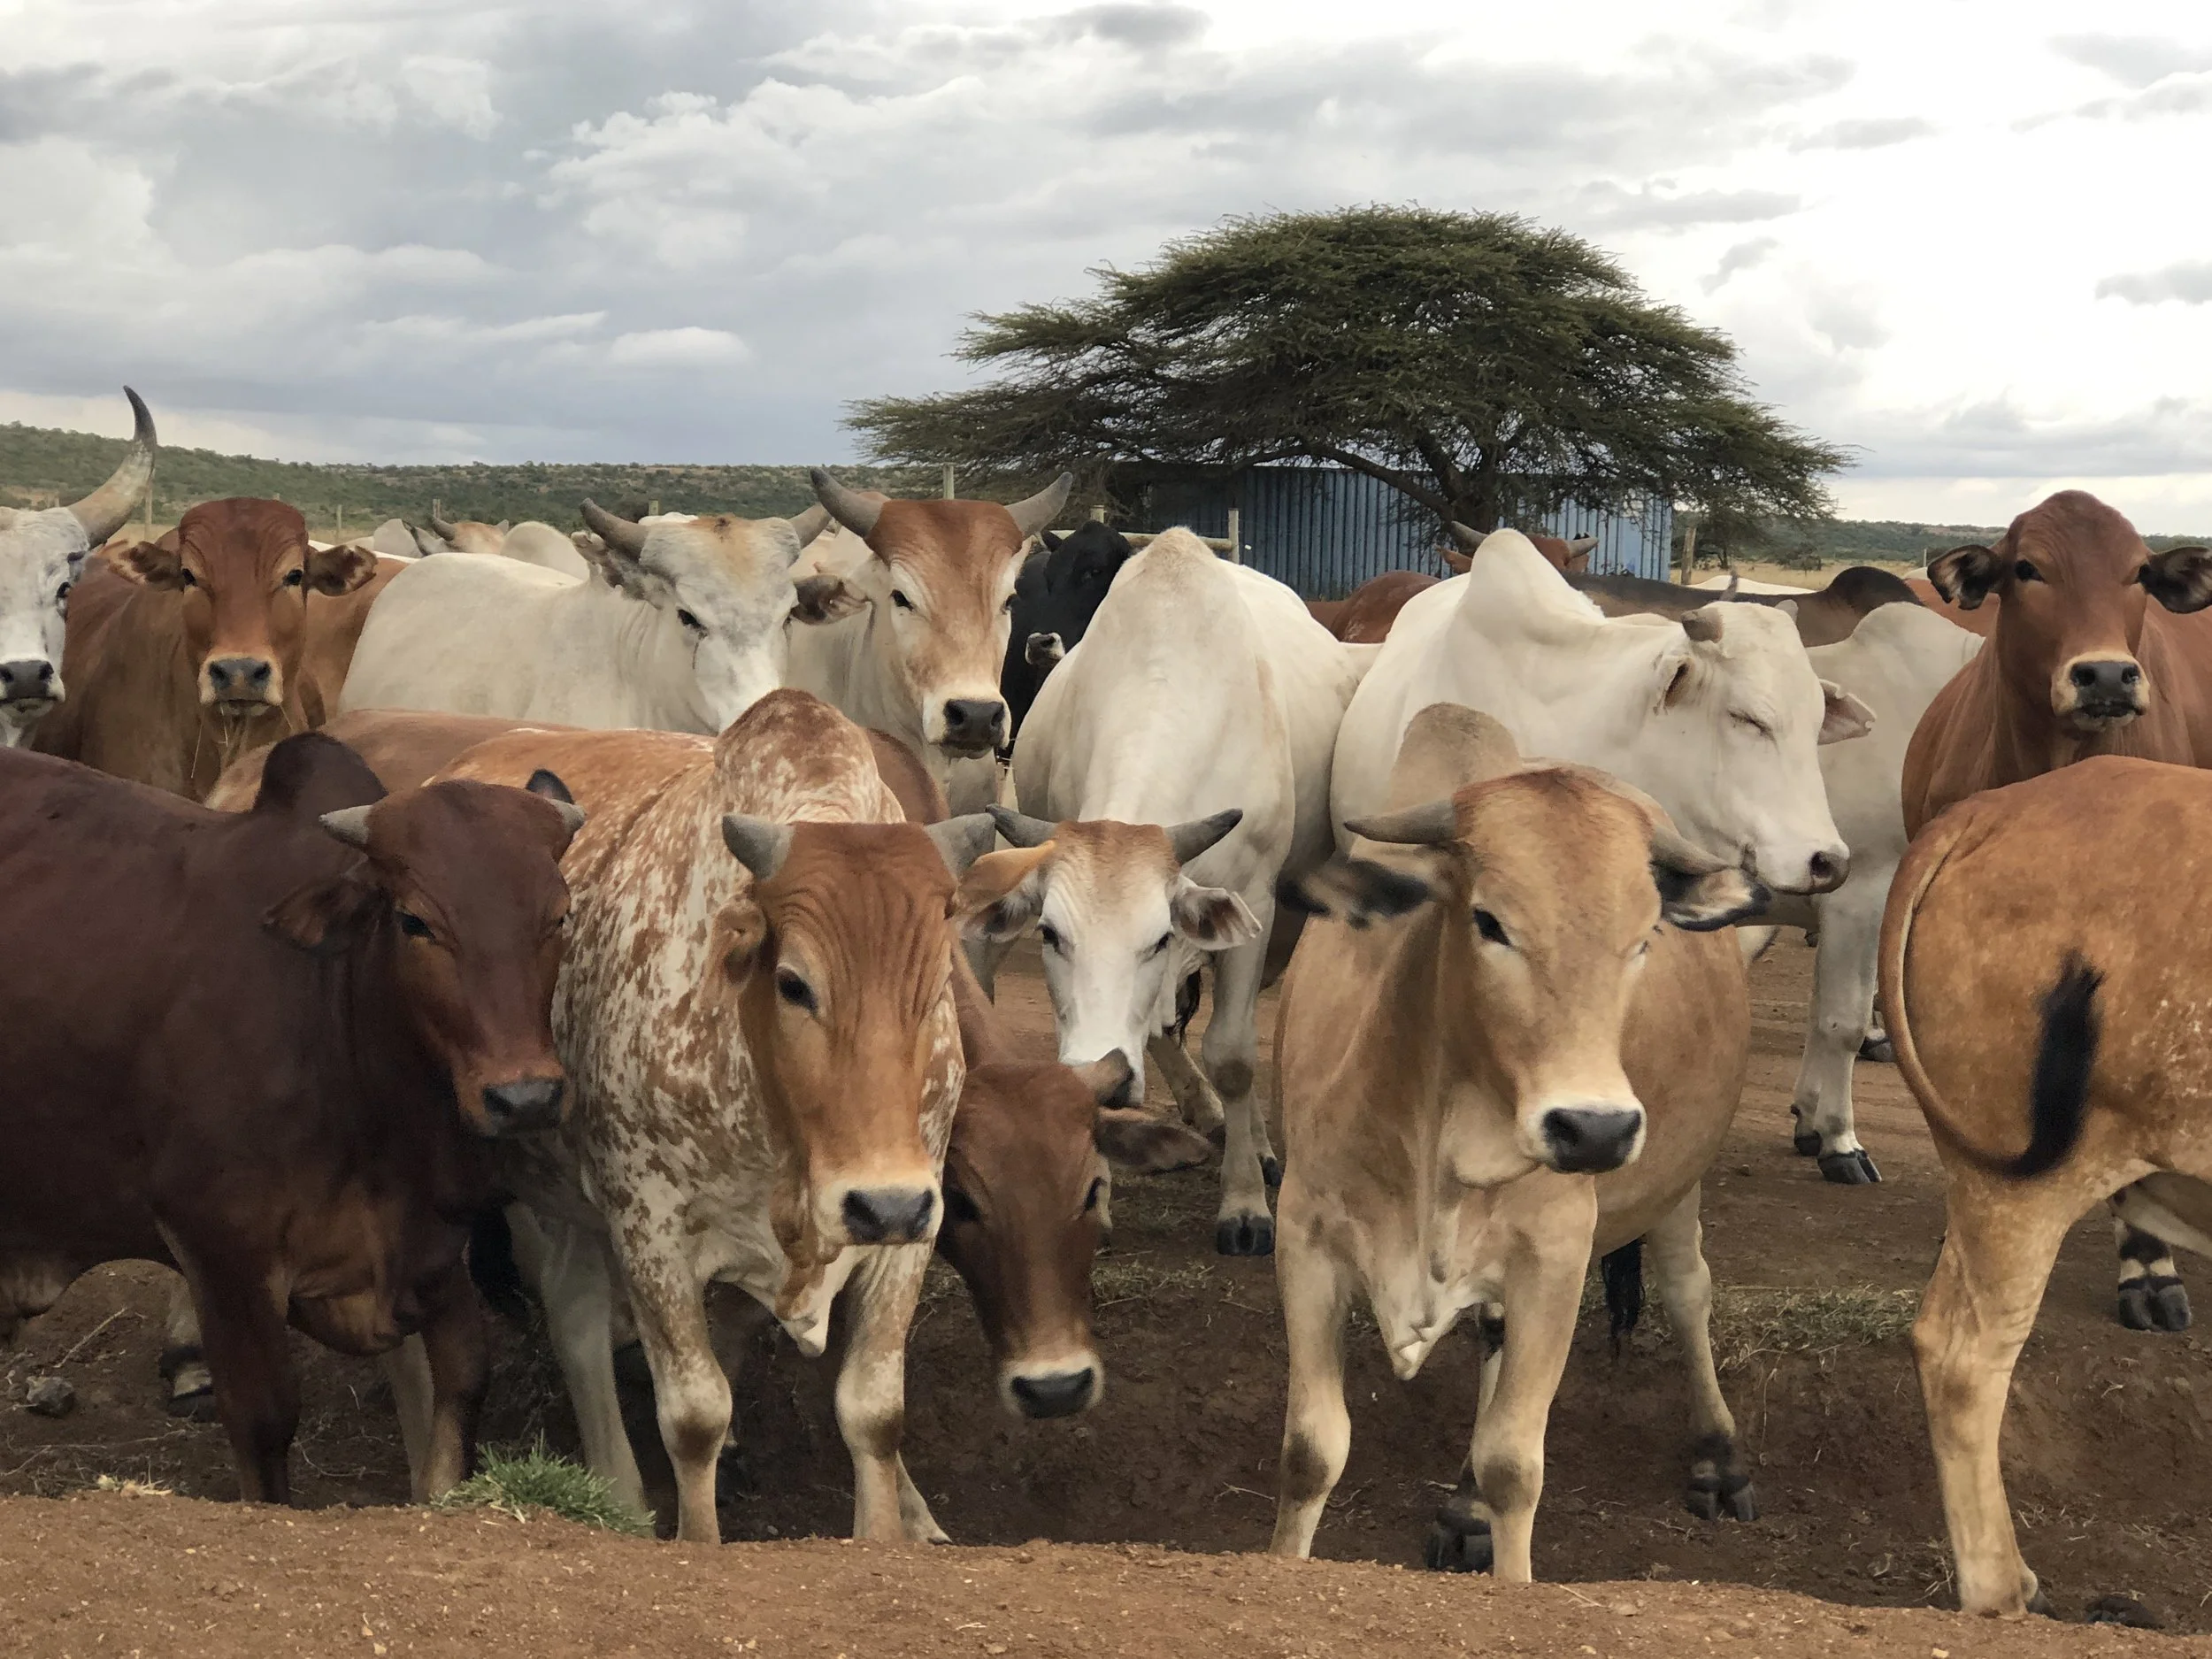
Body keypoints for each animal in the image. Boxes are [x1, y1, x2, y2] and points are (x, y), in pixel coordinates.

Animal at [0, 734, 582, 1503]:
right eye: (414, 920)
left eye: (559, 916)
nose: (525, 1097)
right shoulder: (220, 1248)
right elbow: (265, 1419)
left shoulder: (427, 1250)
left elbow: (465, 1378)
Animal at [431, 690, 1033, 1542]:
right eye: (795, 982)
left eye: (934, 985)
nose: (881, 1202)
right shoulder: (648, 1227)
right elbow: (694, 1416)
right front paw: (698, 1537)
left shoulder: (912, 1228)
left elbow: (874, 1411)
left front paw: (887, 1535)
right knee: (573, 1321)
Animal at [1267, 704, 1766, 1577]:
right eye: (1490, 920)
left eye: (1644, 937)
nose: (1595, 1128)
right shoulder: (1306, 1237)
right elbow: (1311, 1451)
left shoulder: (1557, 1257)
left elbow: (1513, 1464)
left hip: (1678, 1184)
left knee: (1688, 1289)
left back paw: (1717, 1454)